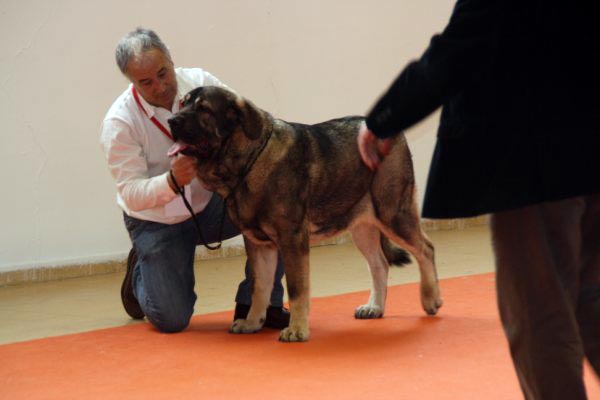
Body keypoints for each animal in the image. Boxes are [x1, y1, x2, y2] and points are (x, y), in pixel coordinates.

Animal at [166, 86, 442, 342]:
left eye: (204, 109)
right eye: (182, 103)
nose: (172, 121)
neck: (250, 160)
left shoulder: (292, 239)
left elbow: (297, 288)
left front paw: (297, 329)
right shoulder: (259, 245)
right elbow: (260, 287)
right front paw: (253, 322)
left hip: (392, 212)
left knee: (425, 248)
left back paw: (431, 298)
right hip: (363, 226)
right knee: (379, 264)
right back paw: (375, 307)